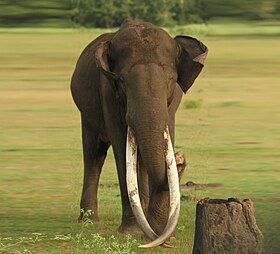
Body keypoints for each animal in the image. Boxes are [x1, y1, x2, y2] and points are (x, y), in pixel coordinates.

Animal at [71, 19, 207, 248]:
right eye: (122, 82)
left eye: (171, 81)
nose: (181, 160)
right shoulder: (107, 92)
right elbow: (121, 149)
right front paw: (131, 232)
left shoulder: (173, 102)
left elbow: (165, 139)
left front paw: (163, 235)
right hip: (87, 114)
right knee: (93, 155)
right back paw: (89, 222)